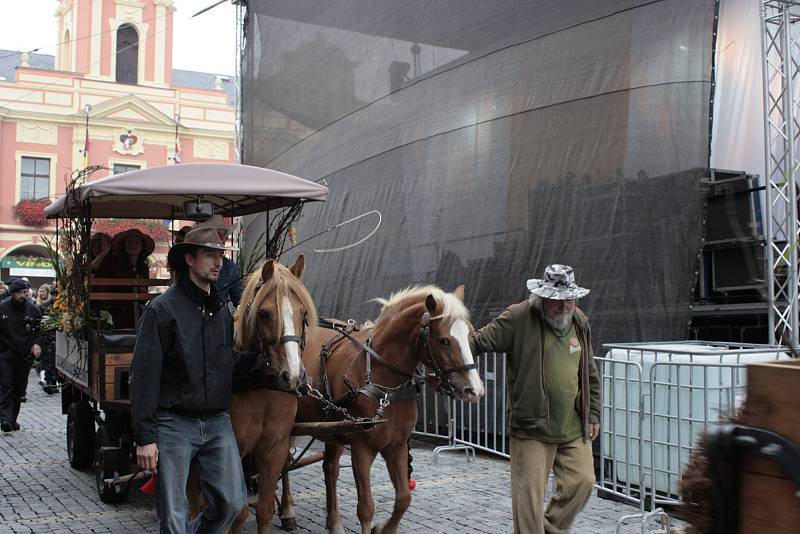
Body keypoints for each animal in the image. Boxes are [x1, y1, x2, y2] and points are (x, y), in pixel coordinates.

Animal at [189, 255, 318, 534]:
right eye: (264, 313)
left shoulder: (275, 448)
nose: (293, 376)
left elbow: (264, 510)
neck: (260, 386)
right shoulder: (234, 450)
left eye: (303, 314)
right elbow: (238, 513)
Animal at [290, 286, 484, 532]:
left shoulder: (397, 446)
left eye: (470, 335)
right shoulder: (362, 449)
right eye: (444, 341)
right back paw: (286, 510)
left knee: (330, 469)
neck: (384, 383)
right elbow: (366, 507)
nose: (475, 390)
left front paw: (384, 528)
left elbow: (404, 498)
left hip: (333, 431)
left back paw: (333, 522)